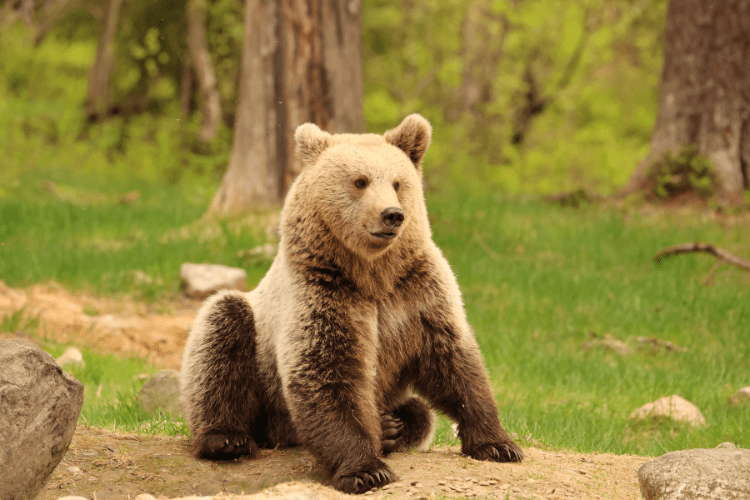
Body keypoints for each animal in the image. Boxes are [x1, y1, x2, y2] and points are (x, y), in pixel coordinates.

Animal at [179, 114, 523, 494]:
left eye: (398, 182)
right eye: (360, 181)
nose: (392, 215)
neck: (371, 274)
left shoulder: (417, 292)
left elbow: (454, 360)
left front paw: (498, 443)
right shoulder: (322, 291)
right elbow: (326, 370)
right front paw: (366, 470)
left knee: (421, 413)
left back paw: (392, 425)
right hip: (259, 358)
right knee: (221, 330)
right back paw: (226, 438)